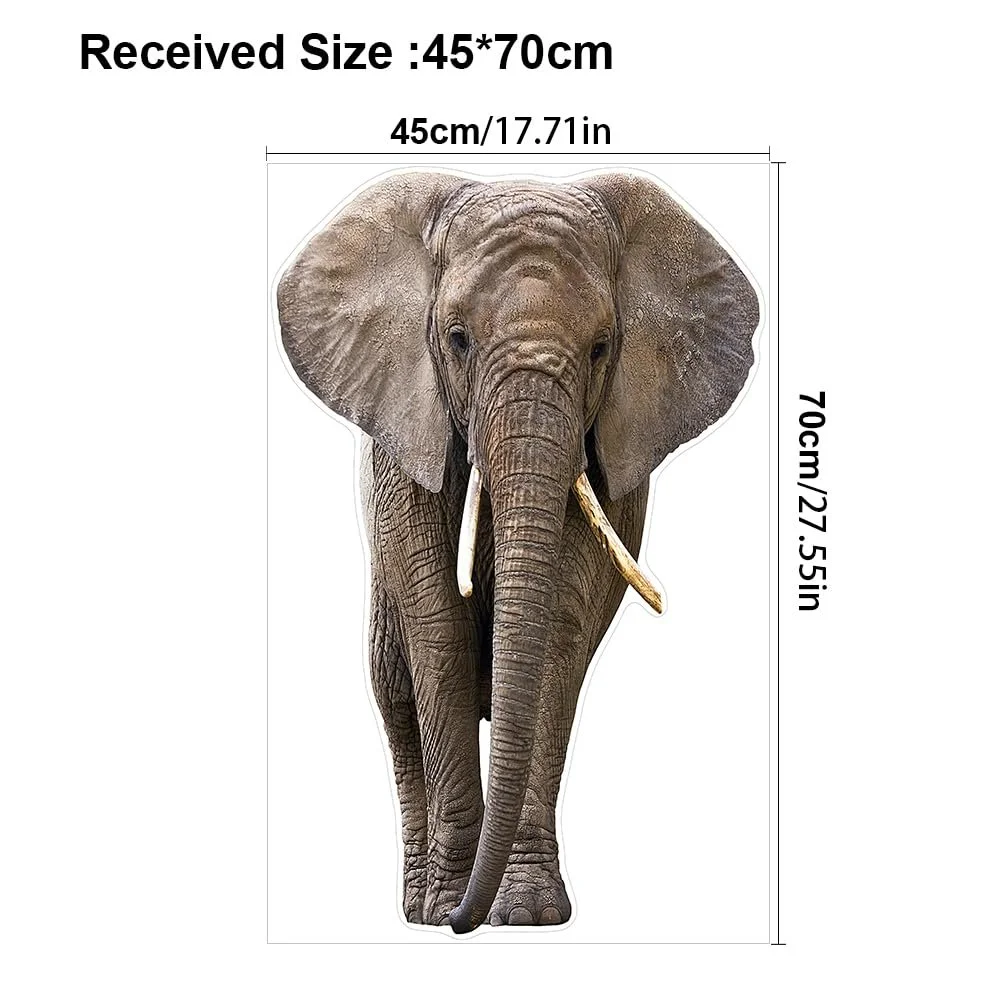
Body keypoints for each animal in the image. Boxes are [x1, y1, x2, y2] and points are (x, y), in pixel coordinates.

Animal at [276, 170, 760, 933]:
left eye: (602, 348)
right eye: (457, 338)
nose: (461, 922)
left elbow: (561, 621)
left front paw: (527, 913)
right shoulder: (407, 435)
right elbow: (437, 626)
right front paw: (448, 904)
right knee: (392, 688)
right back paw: (416, 906)